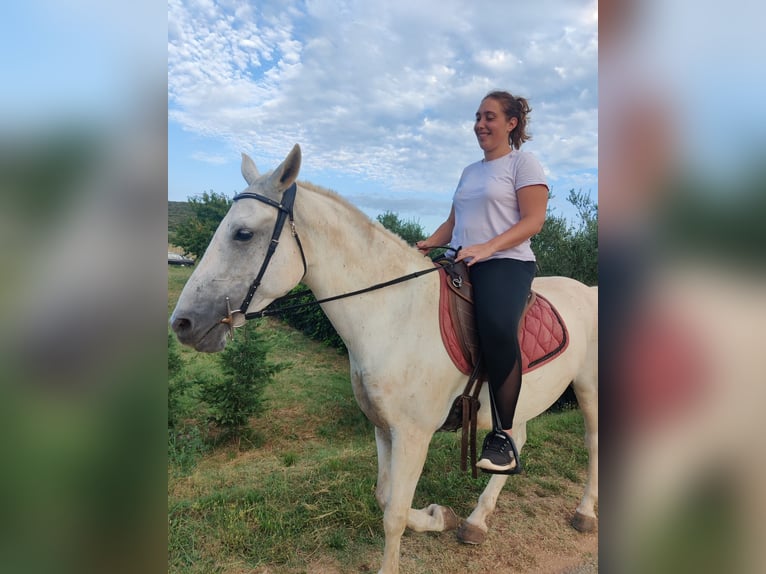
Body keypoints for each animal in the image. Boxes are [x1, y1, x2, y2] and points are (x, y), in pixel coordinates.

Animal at [170, 144, 598, 574]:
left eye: (243, 234)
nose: (183, 323)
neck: (394, 313)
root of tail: (590, 288)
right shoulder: (383, 428)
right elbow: (385, 497)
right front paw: (440, 516)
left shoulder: (413, 434)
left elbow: (394, 513)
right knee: (516, 440)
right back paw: (476, 521)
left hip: (588, 390)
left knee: (592, 444)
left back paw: (584, 514)